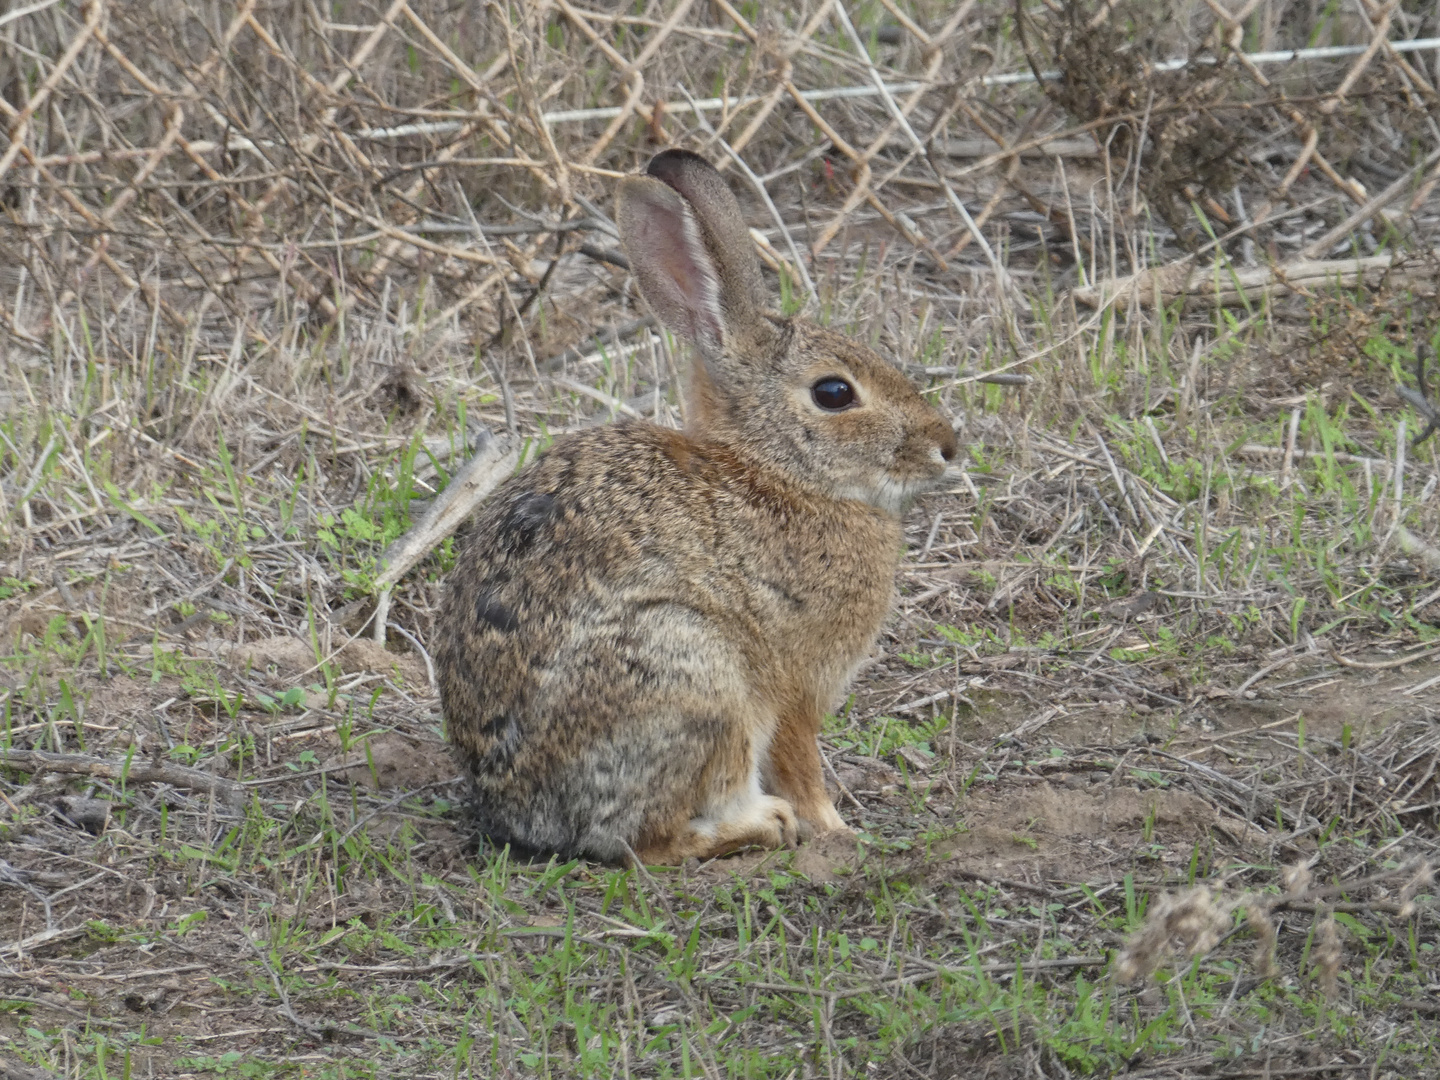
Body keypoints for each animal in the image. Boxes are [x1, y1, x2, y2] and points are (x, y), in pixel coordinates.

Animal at [437, 150, 956, 864]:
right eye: (834, 393)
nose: (947, 446)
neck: (775, 471)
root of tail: (517, 810)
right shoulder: (794, 683)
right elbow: (801, 763)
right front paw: (835, 828)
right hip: (692, 672)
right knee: (653, 841)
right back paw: (763, 824)